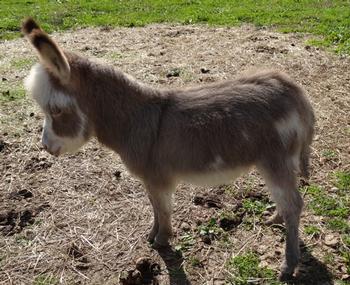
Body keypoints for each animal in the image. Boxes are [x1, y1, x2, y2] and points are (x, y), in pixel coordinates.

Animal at [23, 18, 316, 280]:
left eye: (56, 110)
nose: (45, 147)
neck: (133, 118)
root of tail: (291, 89)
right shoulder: (149, 180)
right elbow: (154, 207)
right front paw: (152, 235)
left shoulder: (158, 179)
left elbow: (163, 210)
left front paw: (162, 242)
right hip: (277, 162)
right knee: (286, 201)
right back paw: (275, 219)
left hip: (275, 160)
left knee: (294, 203)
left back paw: (288, 265)